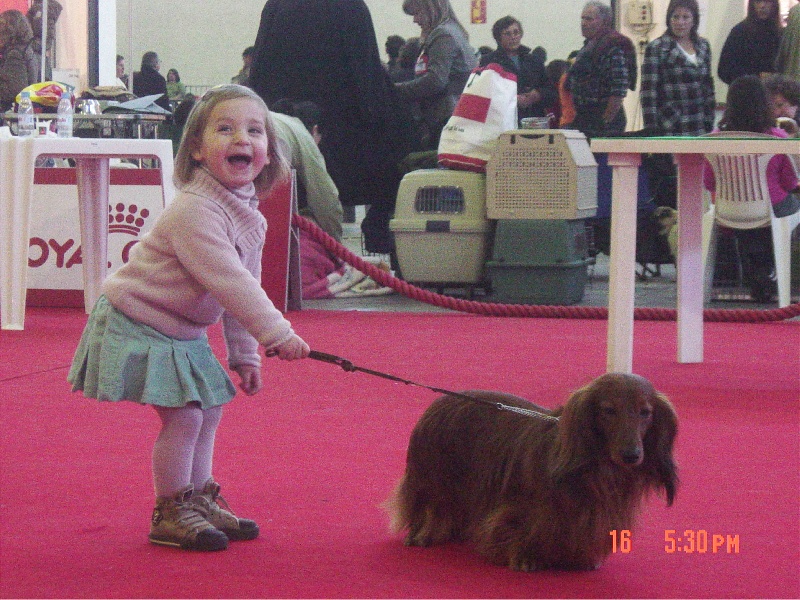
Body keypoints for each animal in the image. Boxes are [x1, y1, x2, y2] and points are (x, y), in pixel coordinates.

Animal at [384, 372, 680, 568]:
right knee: (432, 505)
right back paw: (423, 535)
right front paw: (525, 558)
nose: (632, 455)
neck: (597, 469)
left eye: (645, 412)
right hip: (433, 479)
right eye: (609, 410)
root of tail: (439, 402)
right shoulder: (525, 510)